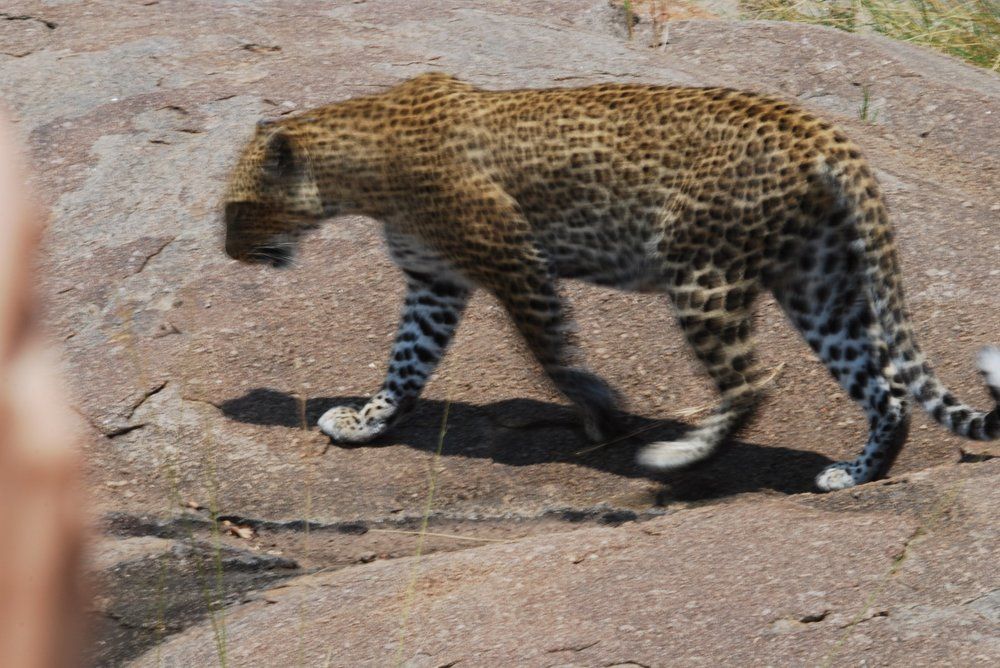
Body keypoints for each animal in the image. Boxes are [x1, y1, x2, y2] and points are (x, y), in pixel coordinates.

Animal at [223, 72, 1000, 491]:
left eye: (236, 209)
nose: (228, 254)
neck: (361, 170)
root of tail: (820, 131)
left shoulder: (515, 262)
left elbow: (552, 353)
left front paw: (603, 409)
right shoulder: (433, 283)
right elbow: (405, 363)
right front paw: (369, 421)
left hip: (702, 273)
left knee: (752, 381)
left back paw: (677, 456)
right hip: (819, 285)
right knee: (885, 388)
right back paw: (857, 473)